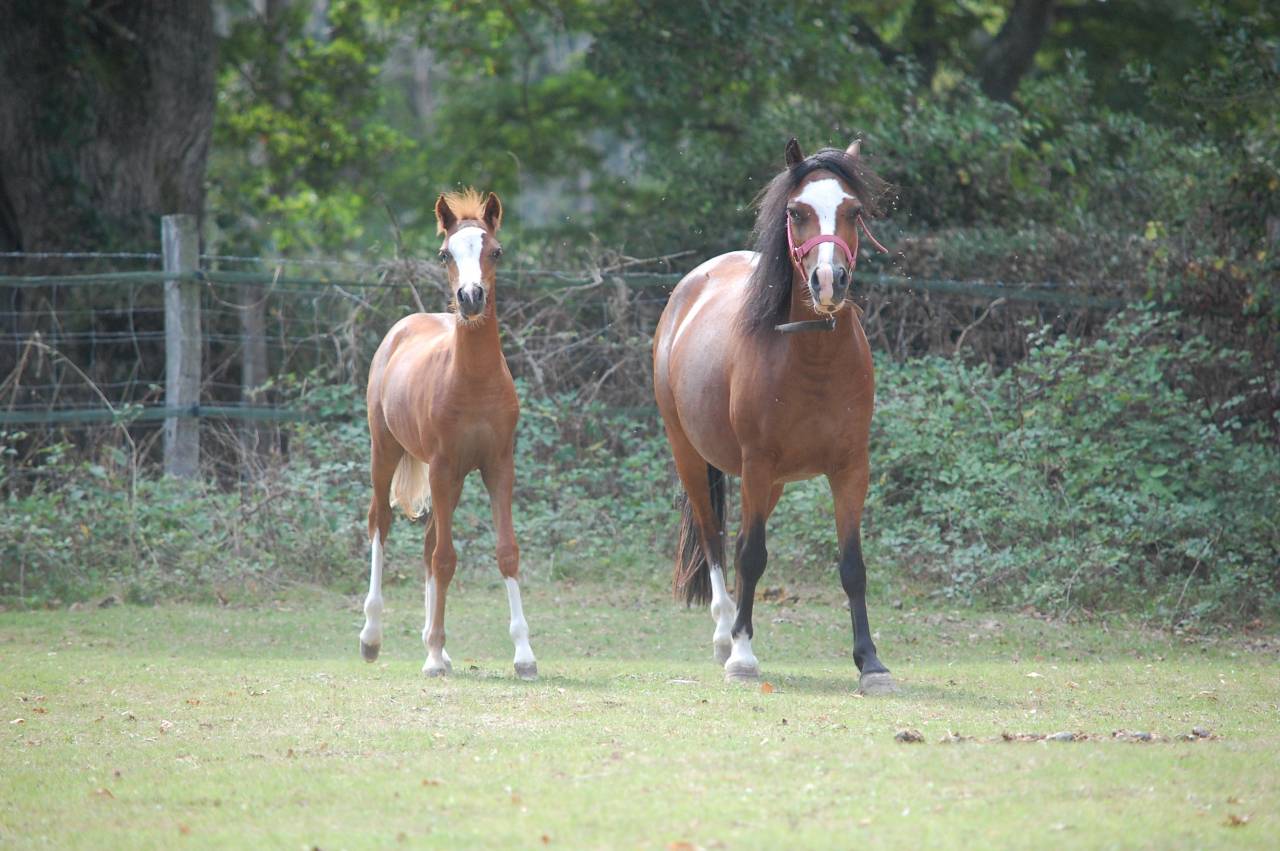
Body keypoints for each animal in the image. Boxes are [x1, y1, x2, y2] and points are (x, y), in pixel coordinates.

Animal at [358, 188, 537, 680]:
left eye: (496, 250)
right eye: (445, 253)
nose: (471, 297)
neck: (472, 380)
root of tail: (402, 327)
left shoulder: (498, 467)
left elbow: (505, 551)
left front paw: (524, 655)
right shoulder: (440, 467)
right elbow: (445, 558)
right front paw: (434, 657)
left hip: (454, 480)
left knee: (426, 545)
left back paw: (431, 642)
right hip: (387, 453)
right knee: (380, 524)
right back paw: (373, 637)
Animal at [652, 138, 895, 693]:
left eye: (854, 211)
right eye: (796, 212)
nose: (829, 280)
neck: (811, 355)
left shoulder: (851, 470)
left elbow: (852, 565)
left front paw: (870, 663)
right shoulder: (757, 464)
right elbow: (751, 554)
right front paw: (743, 656)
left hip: (774, 481)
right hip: (691, 457)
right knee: (717, 541)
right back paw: (726, 635)